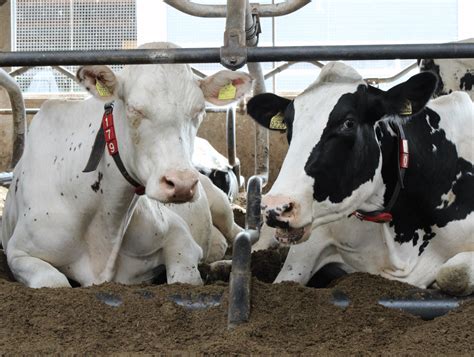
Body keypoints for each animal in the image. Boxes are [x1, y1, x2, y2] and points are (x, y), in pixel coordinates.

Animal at [0, 42, 252, 286]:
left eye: (199, 111)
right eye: (134, 109)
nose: (181, 183)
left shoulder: (178, 234)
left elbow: (184, 278)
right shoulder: (19, 252)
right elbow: (53, 281)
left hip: (219, 202)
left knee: (237, 232)